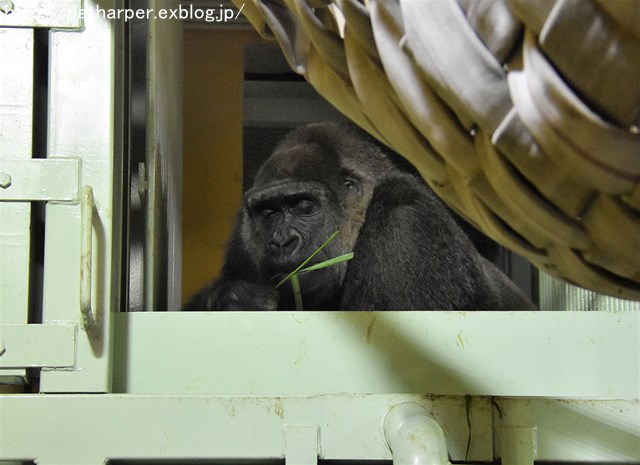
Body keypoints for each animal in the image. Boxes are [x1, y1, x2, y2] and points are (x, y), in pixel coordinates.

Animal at [185, 122, 536, 312]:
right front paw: (230, 299)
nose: (282, 242)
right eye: (268, 212)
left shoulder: (405, 224)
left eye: (304, 206)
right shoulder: (242, 235)